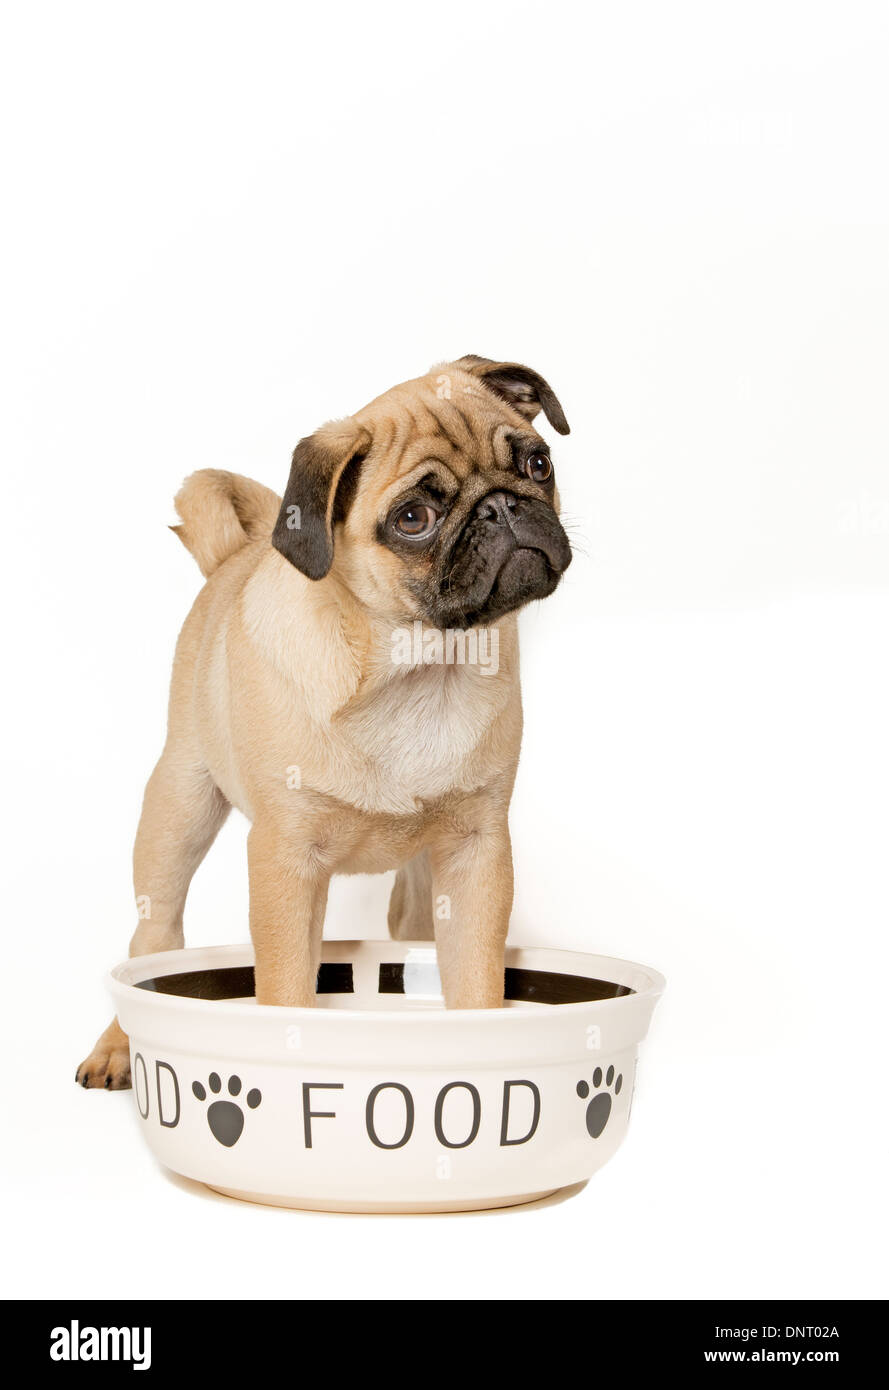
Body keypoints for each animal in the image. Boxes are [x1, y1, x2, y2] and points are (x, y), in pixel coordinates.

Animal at [76, 361, 569, 1095]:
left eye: (538, 464)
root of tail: (238, 551)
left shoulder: (476, 855)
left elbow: (476, 978)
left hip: (421, 883)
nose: (502, 506)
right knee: (151, 939)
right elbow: (286, 988)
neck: (415, 668)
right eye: (413, 519)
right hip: (178, 809)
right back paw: (115, 1045)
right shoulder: (285, 862)